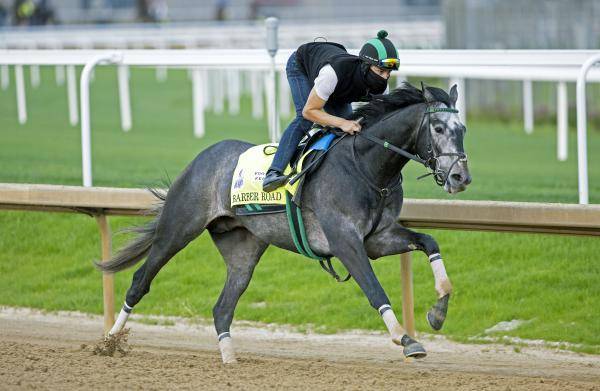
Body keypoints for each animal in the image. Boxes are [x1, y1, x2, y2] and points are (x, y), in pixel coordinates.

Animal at [98, 82, 472, 364]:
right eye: (438, 128)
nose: (461, 177)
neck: (366, 167)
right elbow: (373, 288)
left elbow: (429, 242)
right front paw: (405, 339)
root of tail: (201, 158)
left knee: (222, 308)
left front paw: (438, 311)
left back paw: (229, 359)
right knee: (140, 281)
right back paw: (110, 341)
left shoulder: (377, 239)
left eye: (463, 129)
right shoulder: (345, 241)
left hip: (243, 249)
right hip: (178, 229)